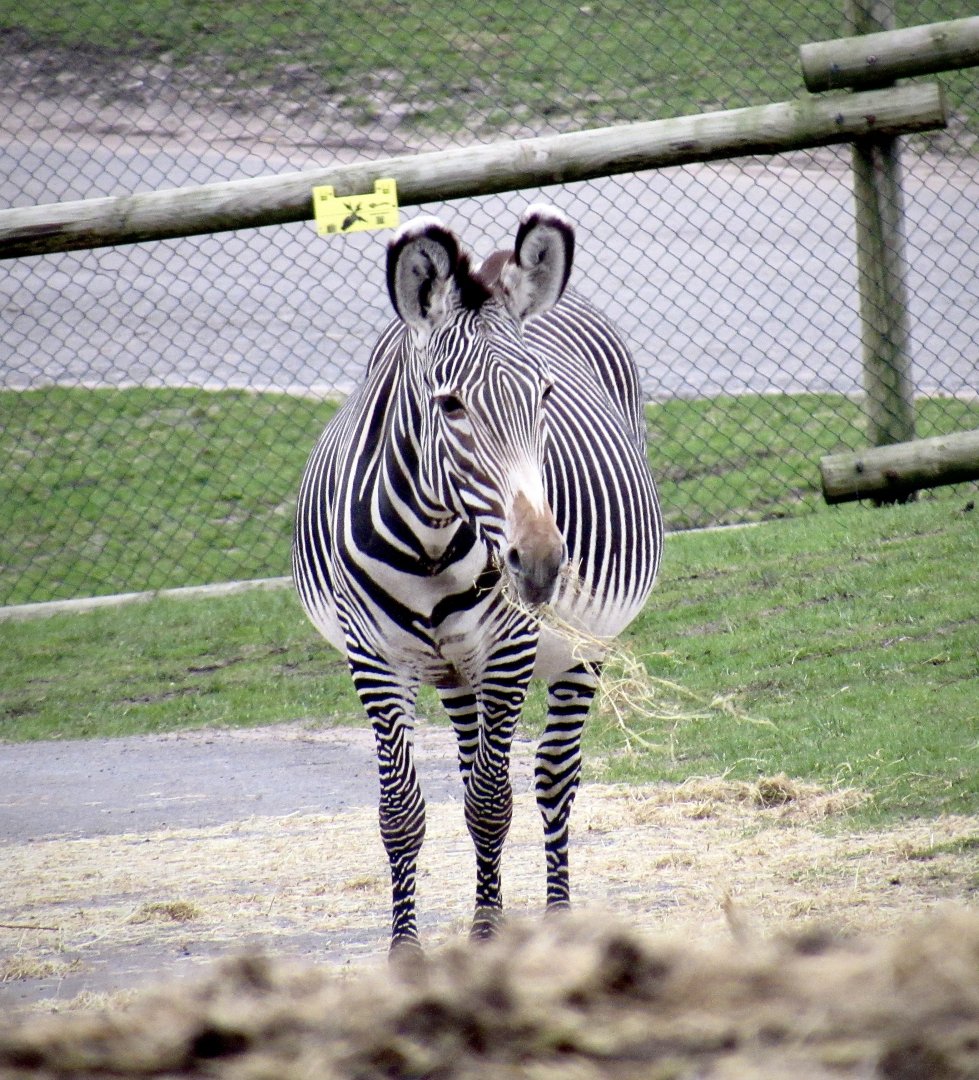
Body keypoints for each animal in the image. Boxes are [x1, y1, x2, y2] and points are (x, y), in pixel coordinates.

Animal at [293, 205, 663, 951]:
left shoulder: (511, 647)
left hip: (582, 647)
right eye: (450, 405)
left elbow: (493, 802)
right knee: (471, 770)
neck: (431, 544)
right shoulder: (373, 657)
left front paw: (488, 936)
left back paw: (556, 915)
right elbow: (403, 809)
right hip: (453, 671)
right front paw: (406, 949)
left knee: (552, 777)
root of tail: (496, 261)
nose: (542, 562)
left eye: (544, 394)